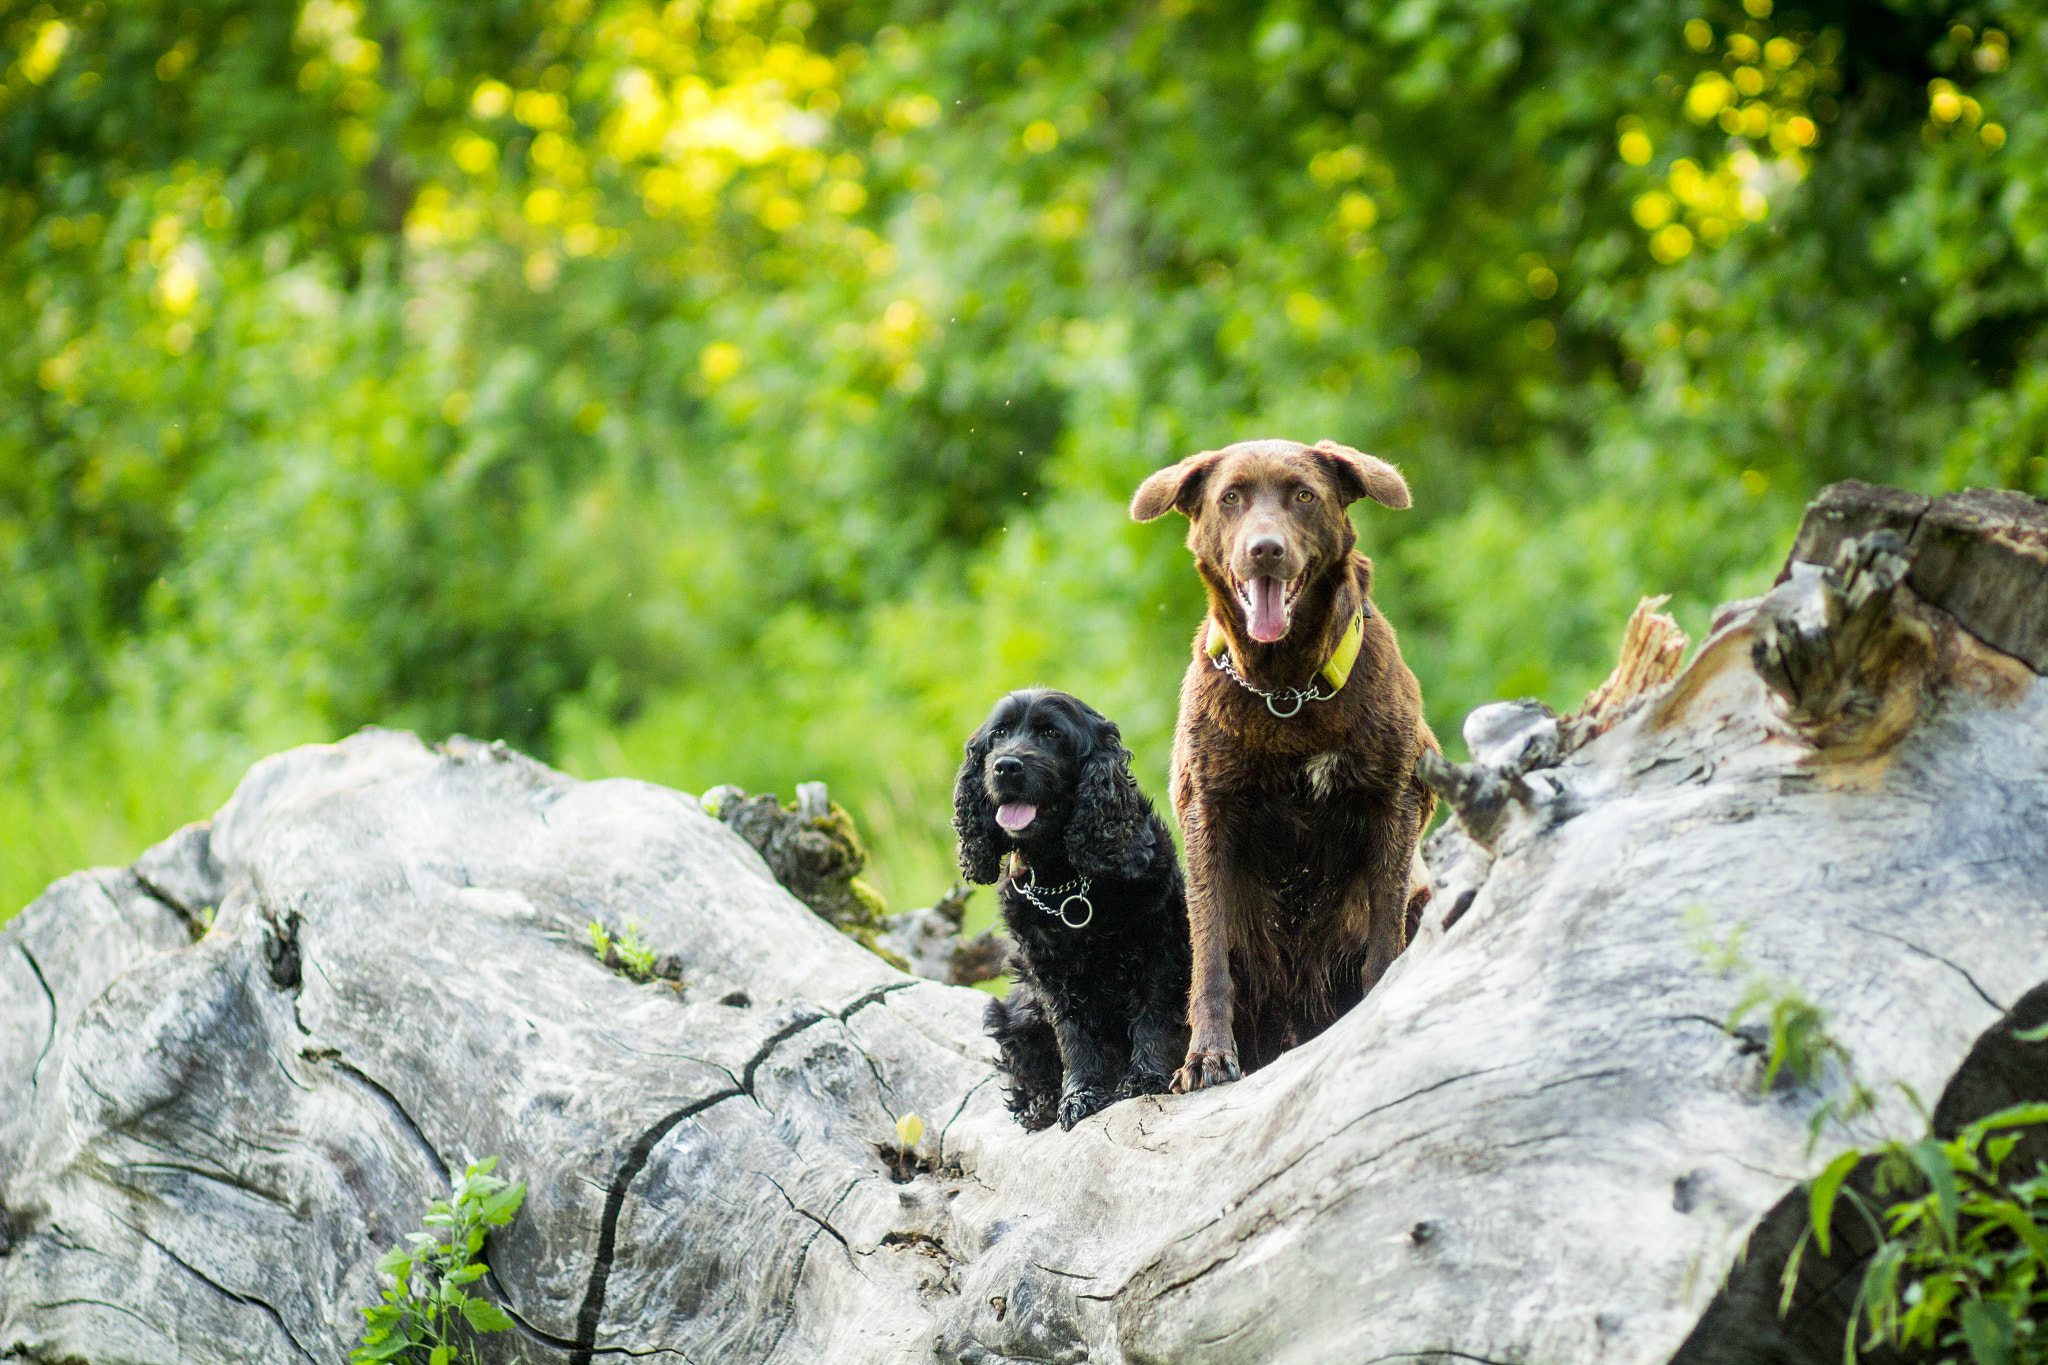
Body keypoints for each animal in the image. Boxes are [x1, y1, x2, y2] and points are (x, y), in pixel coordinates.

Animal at [950, 695, 1196, 1129]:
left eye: (1052, 733)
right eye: (999, 734)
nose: (1006, 766)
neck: (1064, 876)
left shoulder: (1157, 948)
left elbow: (1154, 1016)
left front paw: (1146, 1077)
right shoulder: (1051, 973)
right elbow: (1074, 1036)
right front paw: (1079, 1096)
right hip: (1013, 1011)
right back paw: (1039, 1102)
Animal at [1138, 437, 1441, 1088]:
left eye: (1303, 495)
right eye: (1230, 498)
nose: (1266, 550)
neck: (1287, 691)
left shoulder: (1396, 796)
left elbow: (1384, 939)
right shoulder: (1207, 809)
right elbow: (1211, 960)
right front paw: (1206, 1056)